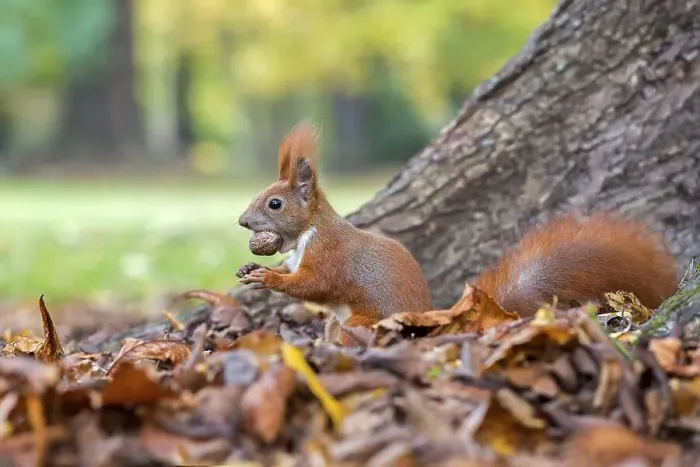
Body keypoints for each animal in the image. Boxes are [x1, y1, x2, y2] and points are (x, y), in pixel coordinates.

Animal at [236, 121, 679, 345]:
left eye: (274, 204)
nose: (242, 222)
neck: (307, 233)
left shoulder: (330, 254)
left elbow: (315, 284)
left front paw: (268, 278)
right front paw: (251, 269)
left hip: (364, 322)